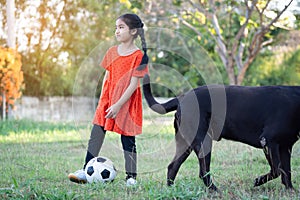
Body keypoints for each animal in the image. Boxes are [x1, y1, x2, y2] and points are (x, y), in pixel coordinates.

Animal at [143, 74, 300, 191]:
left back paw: (170, 190)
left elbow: (287, 171)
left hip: (186, 144)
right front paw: (258, 181)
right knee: (203, 173)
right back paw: (215, 190)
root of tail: (182, 97)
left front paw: (290, 190)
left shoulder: (285, 147)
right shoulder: (268, 141)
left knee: (173, 166)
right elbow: (277, 169)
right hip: (203, 142)